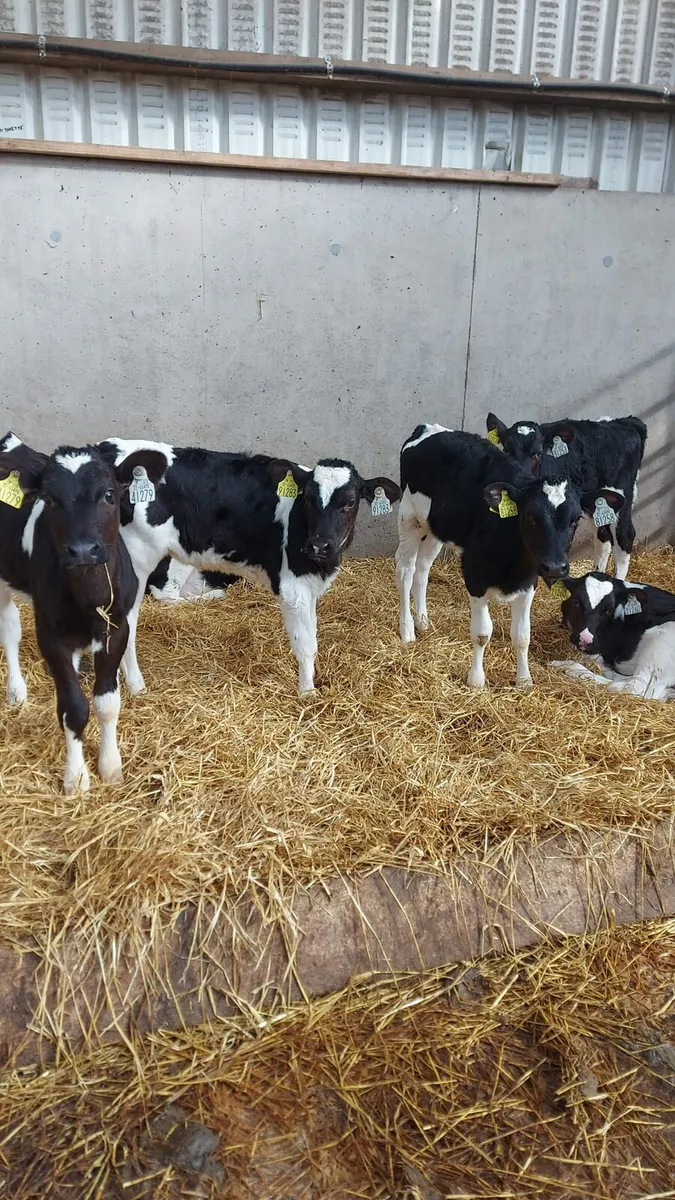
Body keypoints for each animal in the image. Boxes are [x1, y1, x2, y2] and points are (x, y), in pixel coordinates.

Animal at [0, 440, 168, 792]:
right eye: (49, 499)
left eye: (109, 494)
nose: (82, 551)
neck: (90, 599)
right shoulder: (51, 637)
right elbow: (74, 708)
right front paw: (76, 778)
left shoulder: (116, 629)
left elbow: (106, 704)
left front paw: (110, 767)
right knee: (9, 631)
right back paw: (17, 692)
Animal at [95, 439, 401, 695]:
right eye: (309, 499)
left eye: (350, 502)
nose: (319, 545)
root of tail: (107, 449)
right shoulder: (293, 587)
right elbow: (305, 645)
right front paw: (308, 693)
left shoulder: (310, 585)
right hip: (139, 558)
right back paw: (137, 686)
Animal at [396, 424, 625, 690]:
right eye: (530, 515)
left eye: (575, 518)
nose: (555, 567)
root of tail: (429, 428)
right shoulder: (474, 575)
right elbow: (482, 633)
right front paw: (476, 680)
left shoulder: (529, 581)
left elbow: (522, 635)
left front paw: (524, 680)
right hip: (410, 517)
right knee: (406, 570)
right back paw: (407, 630)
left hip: (437, 528)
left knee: (423, 568)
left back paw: (422, 621)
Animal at [485, 414, 647, 580]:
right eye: (506, 450)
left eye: (538, 452)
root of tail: (625, 422)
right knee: (603, 536)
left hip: (622, 494)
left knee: (625, 536)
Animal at [550, 571, 675, 700]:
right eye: (576, 602)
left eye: (609, 610)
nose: (585, 639)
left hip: (662, 641)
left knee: (632, 687)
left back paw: (568, 667)